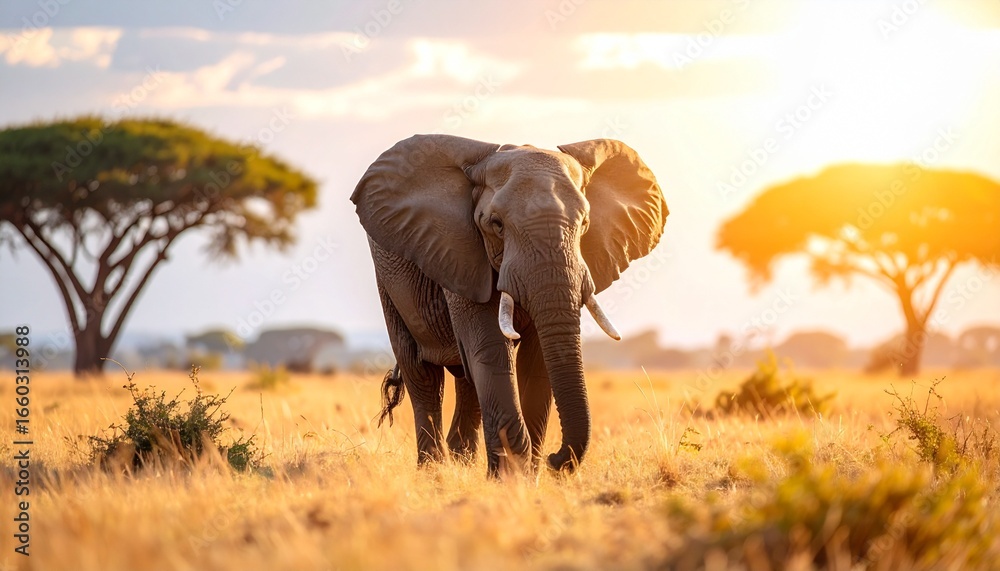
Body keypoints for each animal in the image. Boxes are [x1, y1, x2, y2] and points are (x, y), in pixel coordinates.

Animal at [350, 134, 668, 477]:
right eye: (496, 224)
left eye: (585, 224)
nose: (556, 460)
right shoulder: (461, 253)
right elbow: (490, 348)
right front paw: (510, 478)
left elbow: (537, 361)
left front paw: (528, 475)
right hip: (388, 277)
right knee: (422, 374)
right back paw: (433, 470)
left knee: (466, 380)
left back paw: (461, 462)